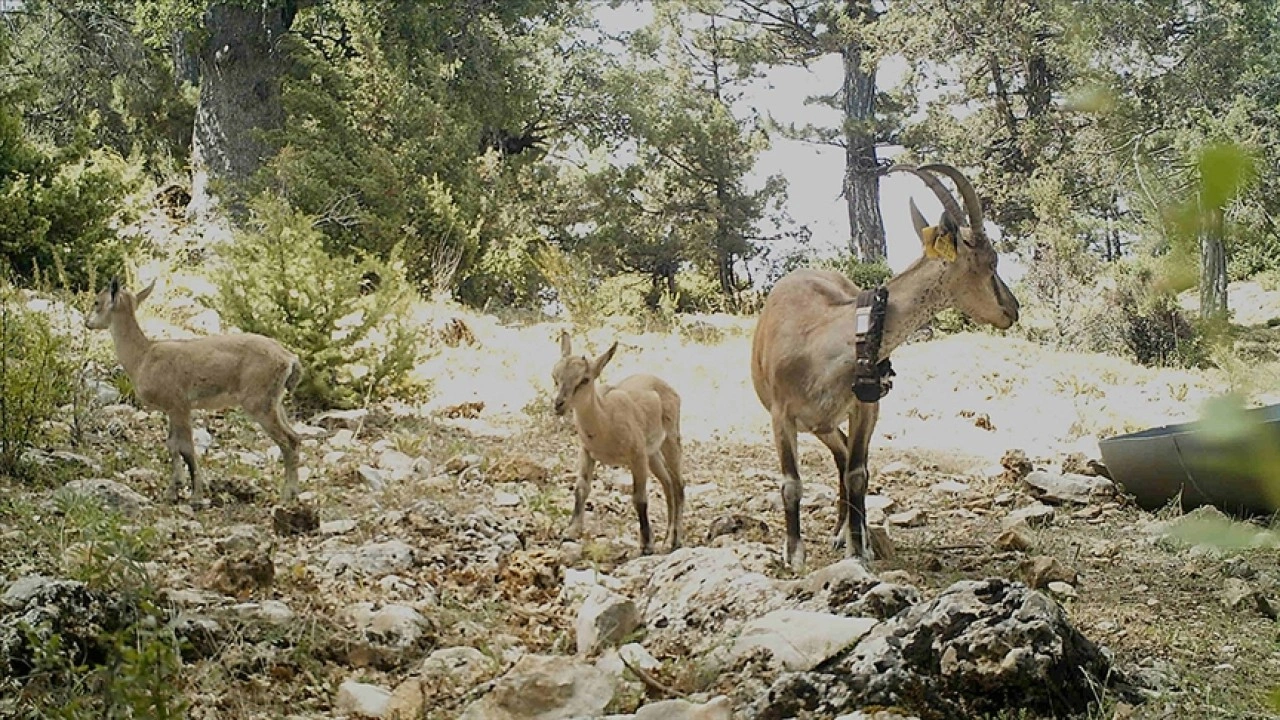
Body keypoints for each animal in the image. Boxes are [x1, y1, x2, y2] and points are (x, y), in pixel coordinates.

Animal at [85, 278, 304, 502]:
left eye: (96, 302)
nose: (87, 323)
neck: (142, 357)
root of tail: (290, 360)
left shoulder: (180, 403)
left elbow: (187, 448)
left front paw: (196, 495)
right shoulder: (172, 408)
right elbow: (172, 445)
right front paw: (173, 491)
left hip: (258, 402)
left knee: (287, 441)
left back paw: (287, 495)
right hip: (274, 401)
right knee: (295, 437)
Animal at [552, 330, 686, 548]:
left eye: (584, 379)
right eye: (555, 376)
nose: (559, 404)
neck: (605, 422)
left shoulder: (637, 455)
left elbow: (640, 498)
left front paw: (646, 545)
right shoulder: (586, 451)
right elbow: (581, 488)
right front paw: (570, 531)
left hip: (671, 439)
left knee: (678, 485)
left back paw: (675, 539)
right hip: (652, 454)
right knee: (667, 484)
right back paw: (667, 537)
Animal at [747, 163, 1018, 571]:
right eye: (991, 263)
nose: (1012, 309)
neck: (822, 338)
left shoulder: (865, 406)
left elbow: (859, 473)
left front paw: (859, 550)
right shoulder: (782, 415)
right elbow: (791, 482)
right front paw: (793, 554)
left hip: (832, 420)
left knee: (846, 461)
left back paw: (844, 531)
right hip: (818, 423)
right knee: (839, 456)